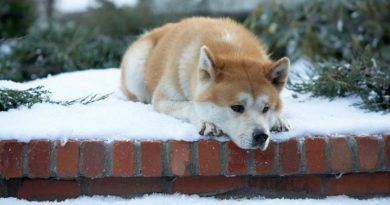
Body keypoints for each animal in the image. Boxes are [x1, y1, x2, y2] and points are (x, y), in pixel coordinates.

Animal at [121, 16, 290, 150]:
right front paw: (207, 123)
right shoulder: (162, 100)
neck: (234, 51)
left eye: (266, 108)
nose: (261, 136)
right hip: (136, 66)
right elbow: (190, 105)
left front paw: (279, 119)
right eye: (236, 107)